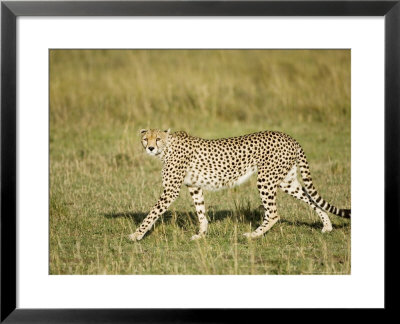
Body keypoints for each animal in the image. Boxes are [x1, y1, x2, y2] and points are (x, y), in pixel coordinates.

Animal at [129, 129, 350, 240]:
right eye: (145, 138)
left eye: (157, 139)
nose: (149, 147)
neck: (167, 147)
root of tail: (289, 137)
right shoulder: (194, 186)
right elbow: (201, 211)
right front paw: (202, 234)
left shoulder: (171, 190)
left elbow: (152, 213)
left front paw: (137, 235)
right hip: (287, 181)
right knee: (312, 199)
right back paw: (327, 226)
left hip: (266, 179)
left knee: (274, 213)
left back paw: (253, 235)